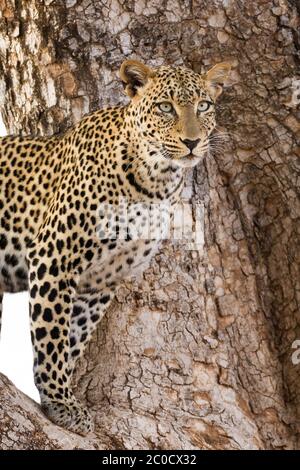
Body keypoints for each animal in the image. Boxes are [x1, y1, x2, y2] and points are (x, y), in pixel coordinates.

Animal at [0, 60, 231, 436]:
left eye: (204, 106)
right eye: (165, 107)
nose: (192, 141)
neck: (155, 182)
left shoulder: (101, 280)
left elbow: (73, 338)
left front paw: (58, 395)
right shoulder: (54, 256)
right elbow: (52, 334)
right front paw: (61, 401)